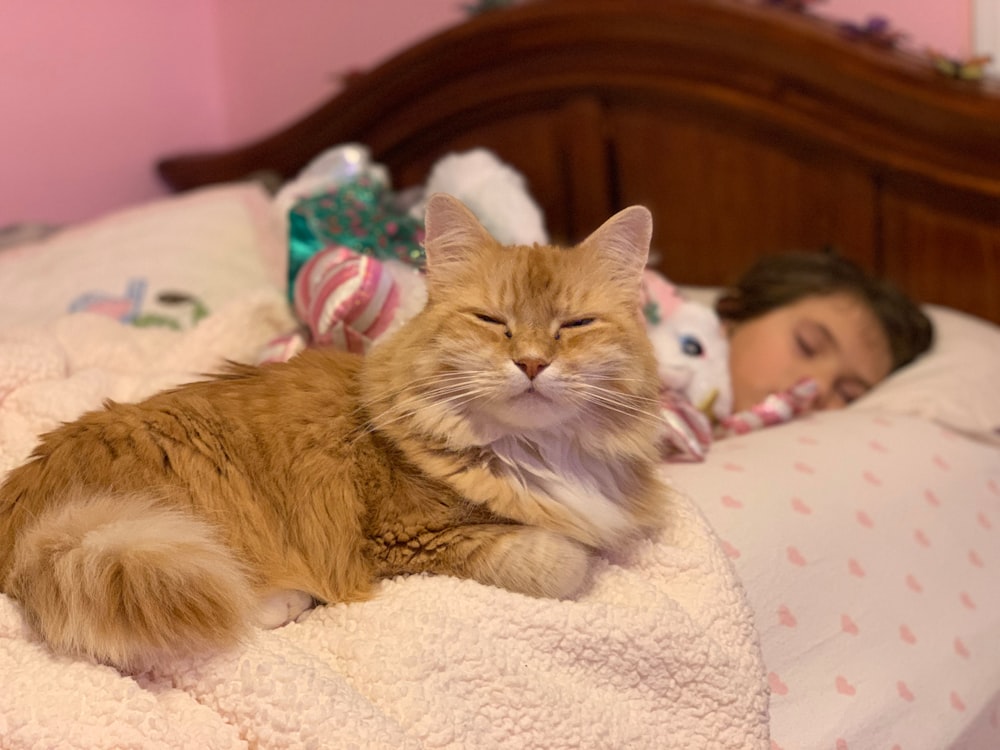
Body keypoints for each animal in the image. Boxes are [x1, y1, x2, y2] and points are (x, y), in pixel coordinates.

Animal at [1, 192, 672, 668]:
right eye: (491, 321)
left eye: (575, 325)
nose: (532, 363)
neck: (535, 451)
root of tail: (31, 517)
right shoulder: (410, 538)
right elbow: (565, 563)